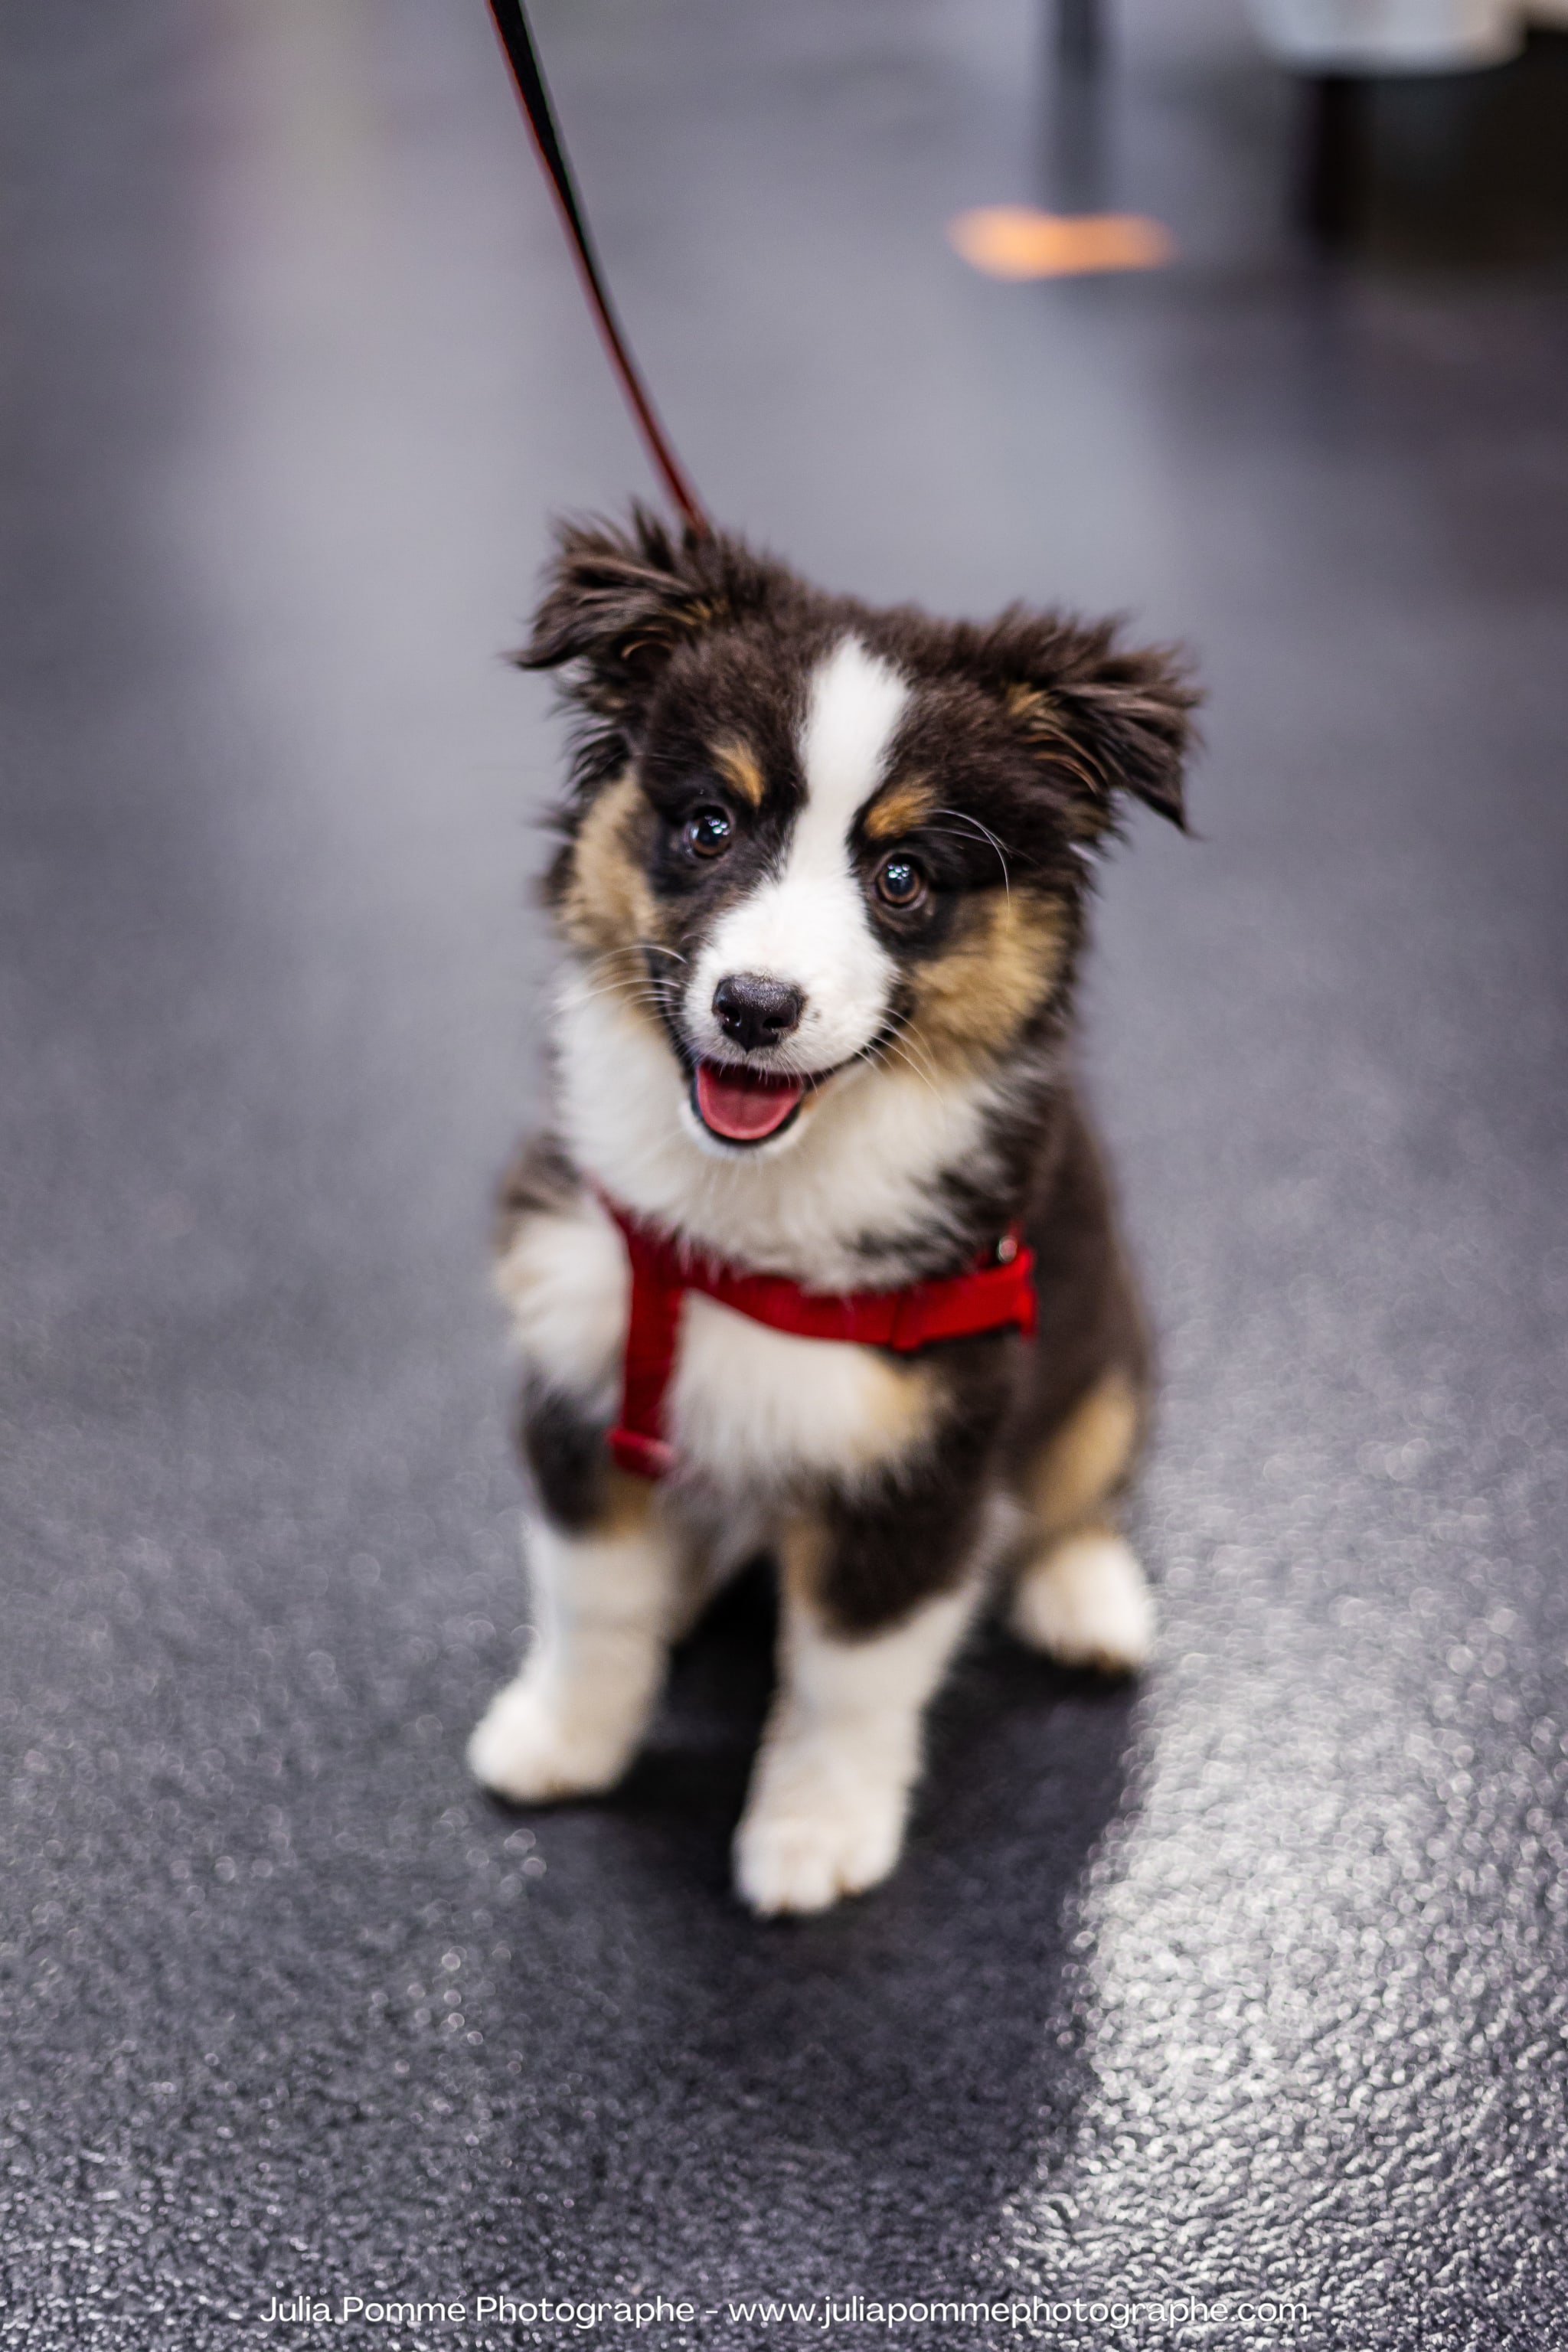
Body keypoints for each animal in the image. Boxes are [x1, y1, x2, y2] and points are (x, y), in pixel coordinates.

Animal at [472, 510, 1194, 1909]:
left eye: (904, 875)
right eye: (709, 826)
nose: (755, 1007)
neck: (742, 1212)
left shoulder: (924, 1450)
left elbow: (847, 1680)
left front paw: (810, 1836)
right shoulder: (582, 1361)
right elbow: (592, 1599)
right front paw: (564, 1740)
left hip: (1106, 1353)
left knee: (1080, 1483)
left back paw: (1085, 1599)